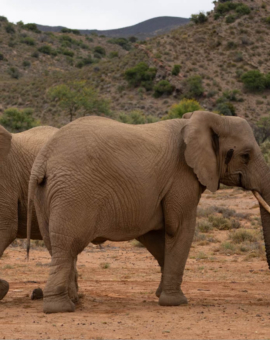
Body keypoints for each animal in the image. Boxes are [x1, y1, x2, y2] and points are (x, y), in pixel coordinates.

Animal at [26, 111, 270, 314]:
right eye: (245, 155)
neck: (203, 119)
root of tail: (43, 159)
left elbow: (156, 238)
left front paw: (161, 294)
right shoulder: (182, 178)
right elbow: (179, 229)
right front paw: (176, 302)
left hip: (47, 195)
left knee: (56, 247)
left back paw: (71, 302)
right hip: (73, 193)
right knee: (67, 247)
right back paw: (60, 308)